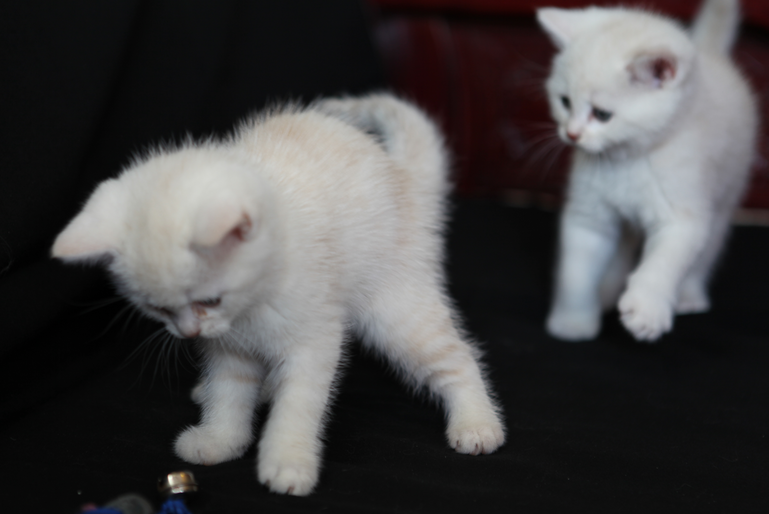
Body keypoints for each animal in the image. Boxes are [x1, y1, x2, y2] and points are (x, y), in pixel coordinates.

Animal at [52, 93, 506, 495]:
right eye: (159, 310)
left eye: (209, 300)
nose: (190, 334)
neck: (252, 304)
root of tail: (404, 177)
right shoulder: (230, 348)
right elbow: (230, 393)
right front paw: (220, 440)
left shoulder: (315, 341)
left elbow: (298, 404)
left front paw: (288, 463)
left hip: (396, 307)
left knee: (456, 355)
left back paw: (477, 423)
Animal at [537, 0, 758, 342]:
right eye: (565, 102)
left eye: (602, 114)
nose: (571, 134)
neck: (627, 159)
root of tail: (708, 52)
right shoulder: (588, 216)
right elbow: (577, 272)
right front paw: (573, 323)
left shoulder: (682, 214)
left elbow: (665, 262)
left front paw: (646, 309)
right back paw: (607, 291)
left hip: (727, 194)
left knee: (708, 250)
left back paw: (689, 295)